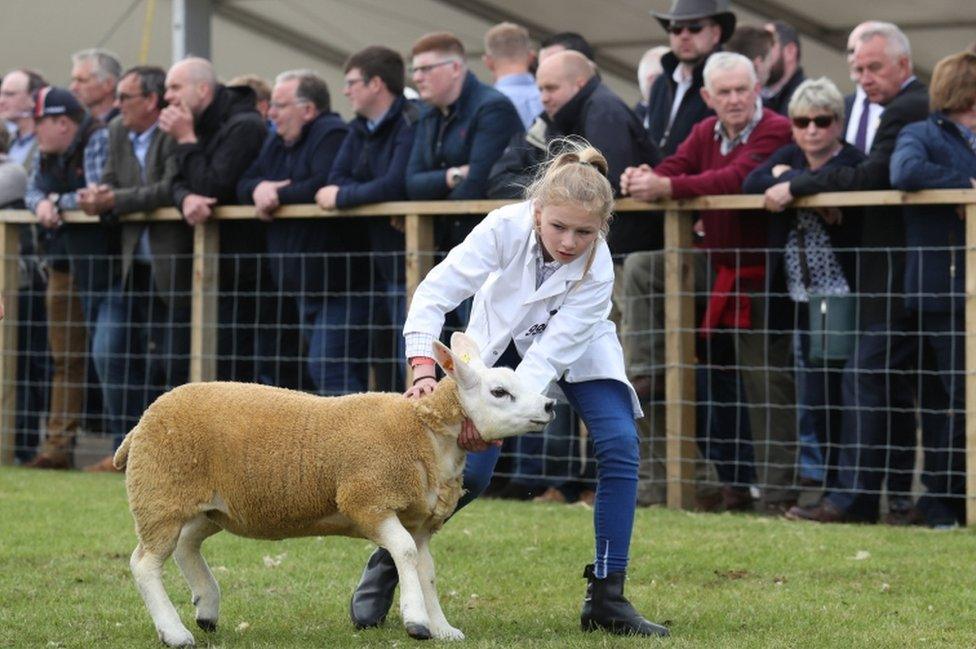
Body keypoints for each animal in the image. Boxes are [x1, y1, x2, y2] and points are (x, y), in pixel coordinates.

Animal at [114, 332, 556, 644]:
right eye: (499, 392)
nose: (550, 405)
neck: (422, 432)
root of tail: (143, 420)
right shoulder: (369, 499)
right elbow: (404, 553)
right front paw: (416, 621)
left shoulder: (418, 519)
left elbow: (425, 569)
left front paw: (443, 627)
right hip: (160, 494)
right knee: (145, 564)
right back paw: (175, 633)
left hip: (213, 505)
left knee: (187, 545)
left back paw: (206, 607)